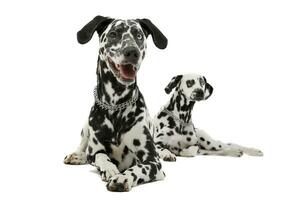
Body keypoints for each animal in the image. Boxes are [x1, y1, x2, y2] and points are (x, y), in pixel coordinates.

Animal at [63, 15, 168, 191]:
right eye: (113, 34)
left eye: (139, 35)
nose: (132, 52)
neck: (116, 105)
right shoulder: (96, 149)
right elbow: (100, 157)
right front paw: (110, 169)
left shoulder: (153, 161)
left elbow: (139, 167)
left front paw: (123, 177)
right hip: (86, 126)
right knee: (83, 146)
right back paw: (77, 155)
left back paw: (167, 152)